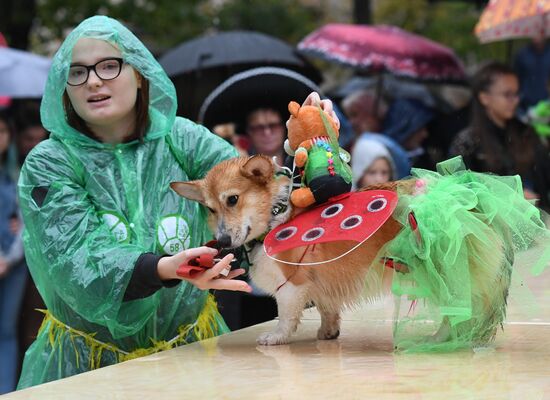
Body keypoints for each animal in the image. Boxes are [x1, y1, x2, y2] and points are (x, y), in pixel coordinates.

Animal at [171, 155, 512, 346]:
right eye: (209, 208)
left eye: (233, 200)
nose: (222, 241)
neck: (276, 215)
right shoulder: (322, 284)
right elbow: (327, 309)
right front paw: (328, 332)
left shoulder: (291, 287)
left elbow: (285, 317)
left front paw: (277, 338)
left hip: (443, 270)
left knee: (461, 307)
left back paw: (442, 337)